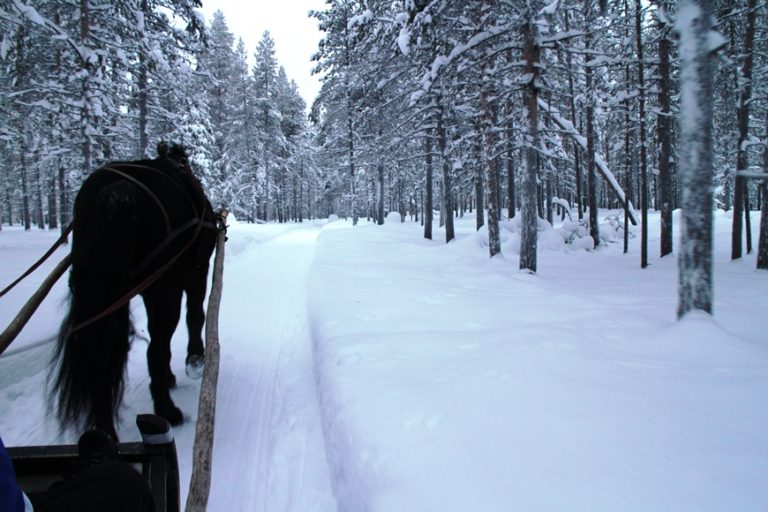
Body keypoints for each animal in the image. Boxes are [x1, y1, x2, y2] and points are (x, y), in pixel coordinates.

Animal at [52, 143, 218, 440]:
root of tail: (117, 194)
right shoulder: (197, 275)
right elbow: (196, 316)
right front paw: (195, 359)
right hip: (165, 292)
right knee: (157, 349)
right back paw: (168, 411)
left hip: (100, 295)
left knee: (100, 359)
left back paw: (105, 430)